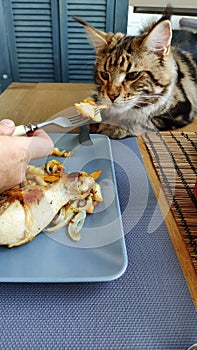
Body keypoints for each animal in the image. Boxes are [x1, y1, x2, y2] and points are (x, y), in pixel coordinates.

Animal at [73, 8, 197, 139]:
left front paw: (114, 126)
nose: (112, 96)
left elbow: (144, 120)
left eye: (132, 75)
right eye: (105, 75)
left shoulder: (180, 111)